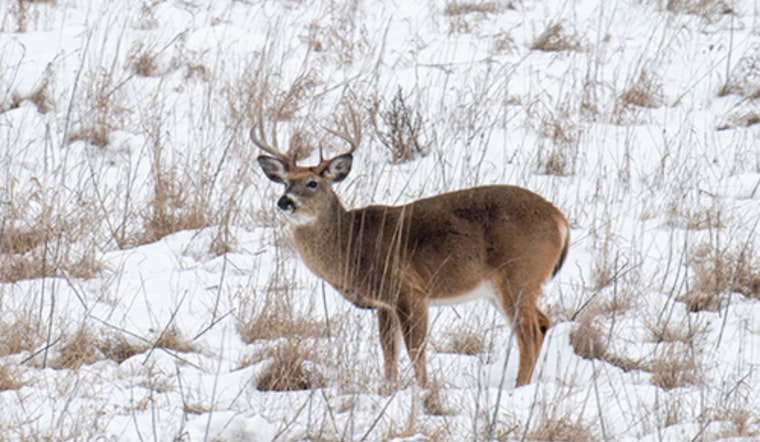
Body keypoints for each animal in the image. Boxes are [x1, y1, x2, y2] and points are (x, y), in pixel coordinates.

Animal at [253, 107, 569, 391]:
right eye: (284, 183)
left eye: (313, 183)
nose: (285, 201)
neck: (352, 244)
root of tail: (560, 219)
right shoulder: (384, 304)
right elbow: (388, 350)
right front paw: (389, 388)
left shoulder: (408, 289)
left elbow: (415, 348)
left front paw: (424, 390)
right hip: (505, 286)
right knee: (542, 322)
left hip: (519, 275)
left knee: (529, 332)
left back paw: (518, 388)